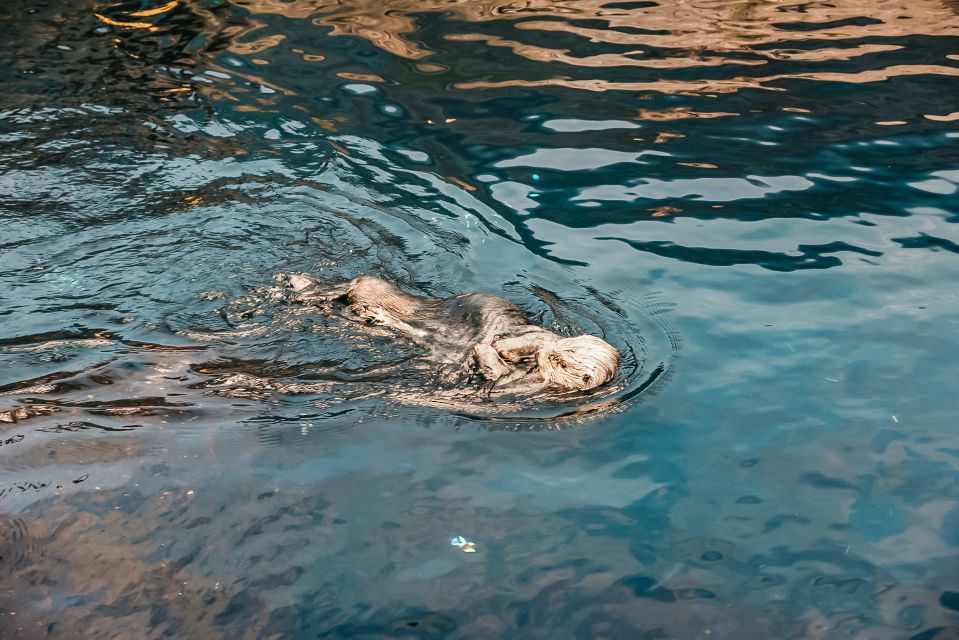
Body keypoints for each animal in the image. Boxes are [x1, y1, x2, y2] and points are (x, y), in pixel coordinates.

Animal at [284, 274, 624, 392]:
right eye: (559, 356)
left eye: (562, 364)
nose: (546, 356)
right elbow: (532, 335)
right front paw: (507, 344)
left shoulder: (518, 383)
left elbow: (496, 372)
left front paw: (487, 349)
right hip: (385, 291)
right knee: (356, 285)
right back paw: (296, 284)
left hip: (373, 307)